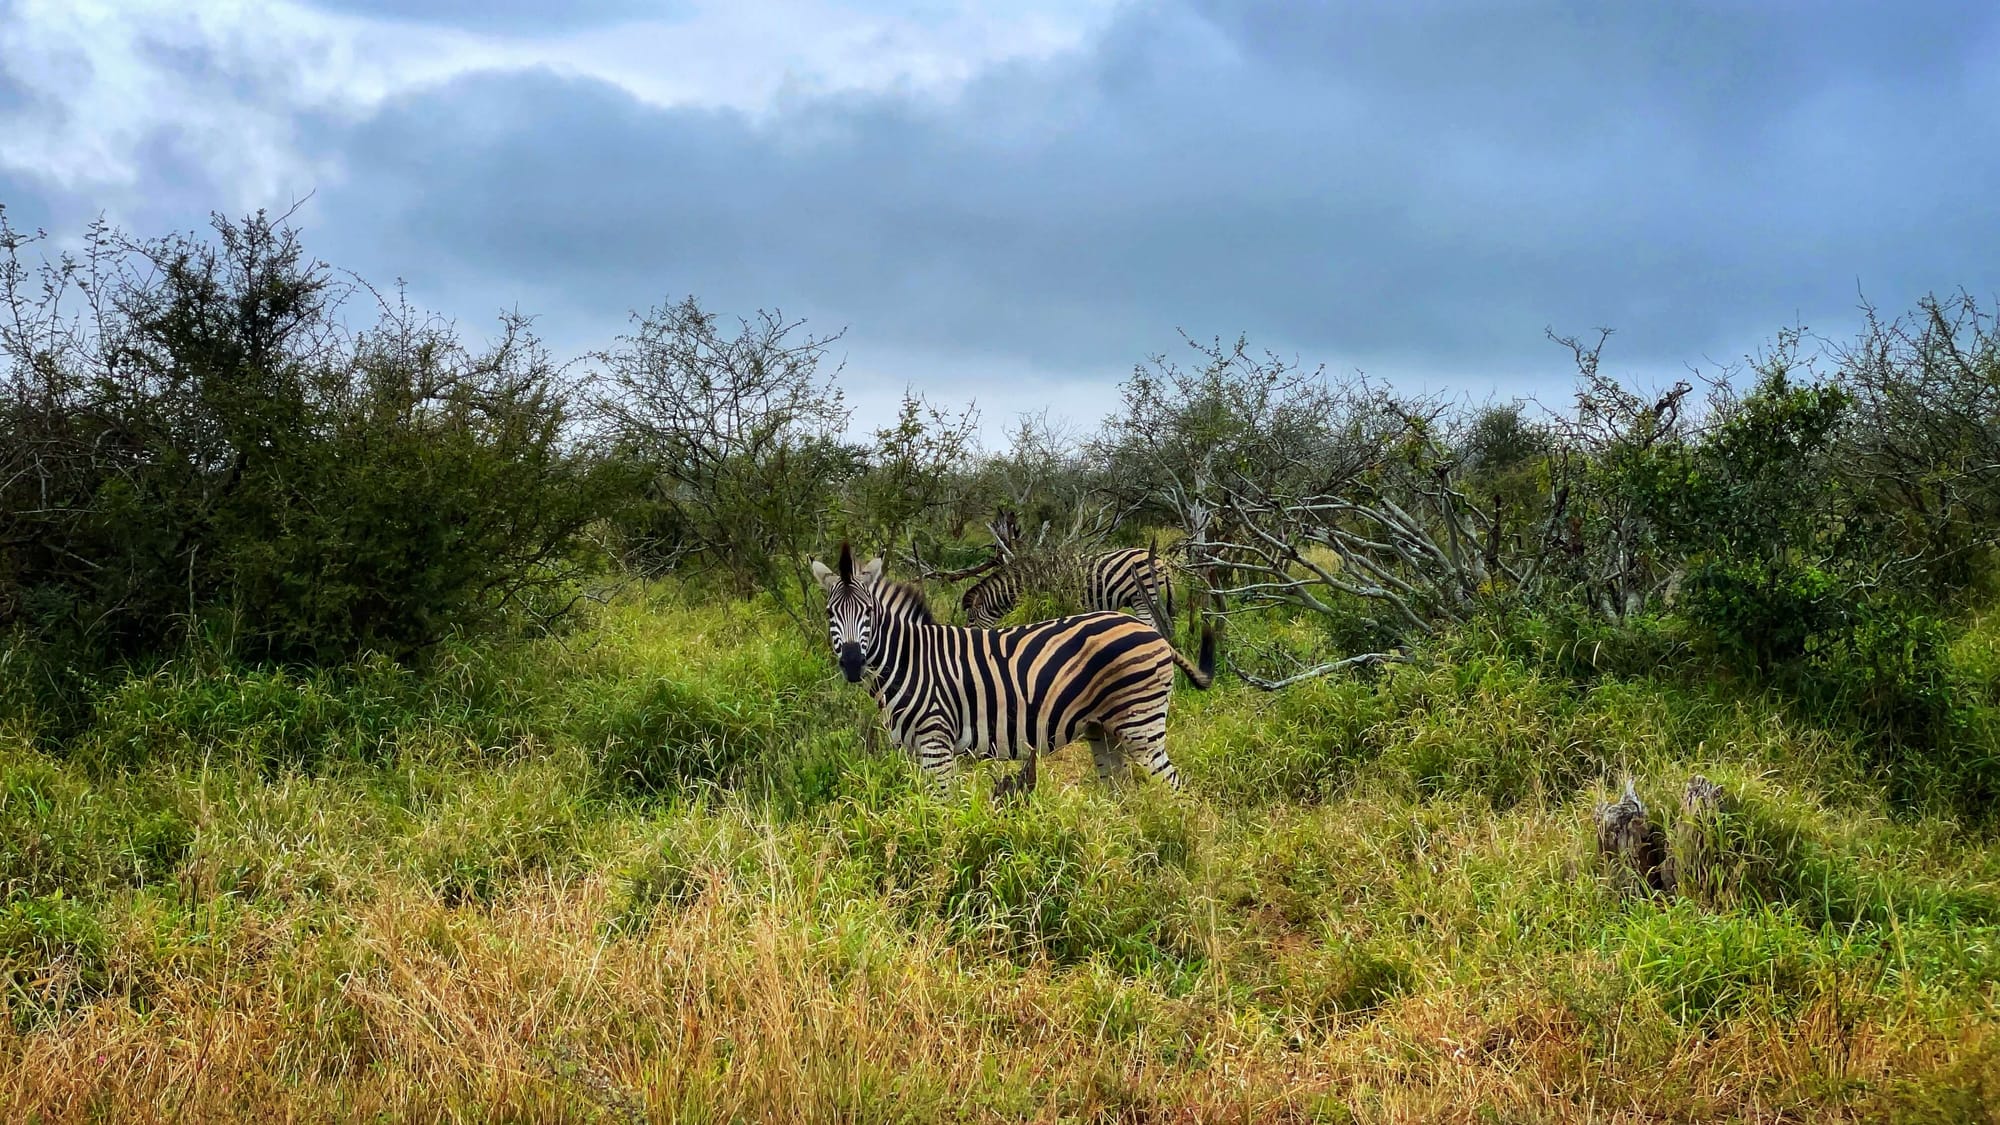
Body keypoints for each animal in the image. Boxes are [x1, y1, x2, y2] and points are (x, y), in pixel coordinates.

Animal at [964, 540, 1176, 636]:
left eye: (971, 619)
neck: (1024, 582)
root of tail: (1161, 560)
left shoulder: (1046, 601)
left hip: (1142, 597)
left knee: (1154, 626)